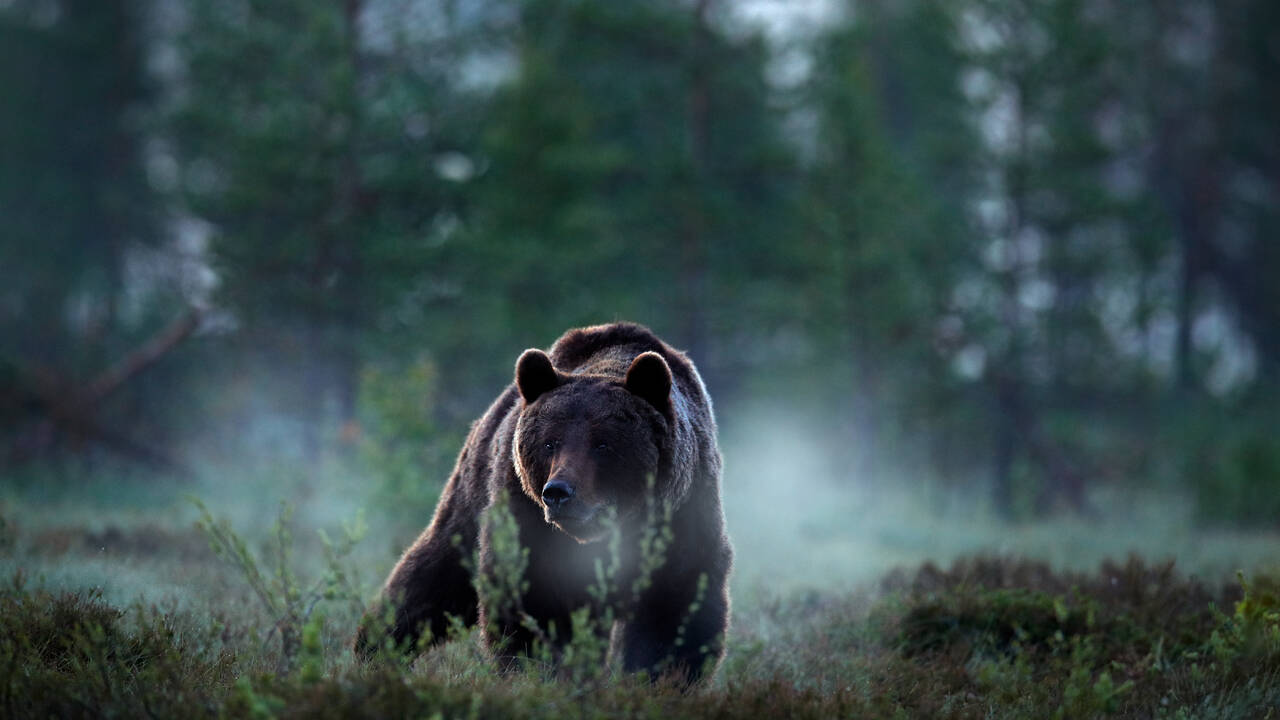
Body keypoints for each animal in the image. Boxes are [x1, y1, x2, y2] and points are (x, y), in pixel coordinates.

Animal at [353, 322, 732, 681]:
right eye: (550, 443)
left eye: (603, 444)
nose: (558, 492)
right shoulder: (526, 516)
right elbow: (532, 600)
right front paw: (541, 674)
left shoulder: (681, 516)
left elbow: (676, 611)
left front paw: (662, 678)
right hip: (472, 495)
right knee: (433, 576)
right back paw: (374, 649)